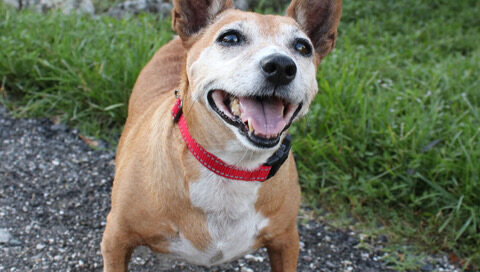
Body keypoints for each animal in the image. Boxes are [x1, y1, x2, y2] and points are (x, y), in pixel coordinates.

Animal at [101, 1, 342, 270]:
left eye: (303, 47)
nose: (281, 66)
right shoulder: (116, 239)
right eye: (230, 38)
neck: (231, 166)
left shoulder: (286, 242)